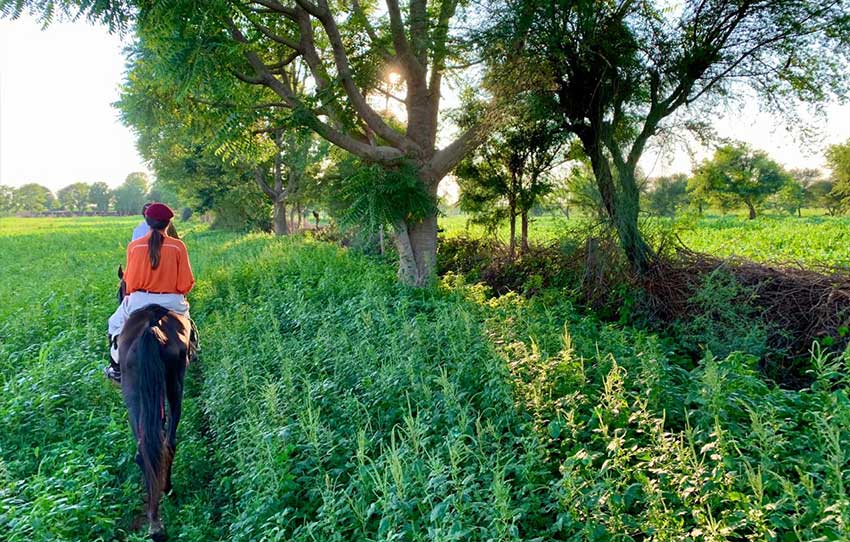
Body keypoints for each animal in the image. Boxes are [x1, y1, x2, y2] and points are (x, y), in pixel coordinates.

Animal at [116, 266, 191, 541]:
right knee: (162, 443)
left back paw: (158, 515)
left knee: (152, 447)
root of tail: (151, 330)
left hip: (137, 394)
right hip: (169, 384)